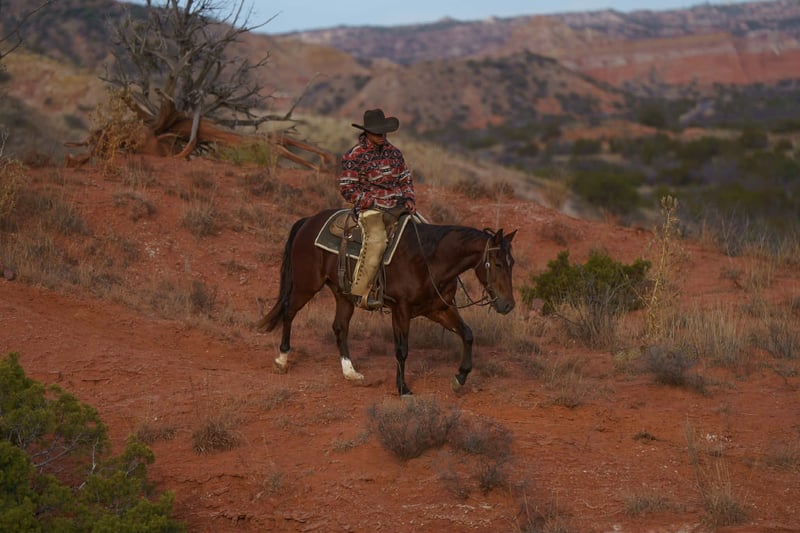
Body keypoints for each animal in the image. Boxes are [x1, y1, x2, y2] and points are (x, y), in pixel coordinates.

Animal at [255, 208, 517, 396]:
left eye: (512, 262)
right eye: (497, 263)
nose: (508, 305)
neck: (429, 259)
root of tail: (308, 221)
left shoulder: (439, 308)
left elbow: (467, 334)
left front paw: (460, 378)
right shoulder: (400, 309)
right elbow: (402, 349)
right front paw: (402, 388)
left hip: (343, 294)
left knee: (340, 327)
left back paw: (351, 373)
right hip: (306, 285)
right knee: (289, 312)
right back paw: (282, 360)